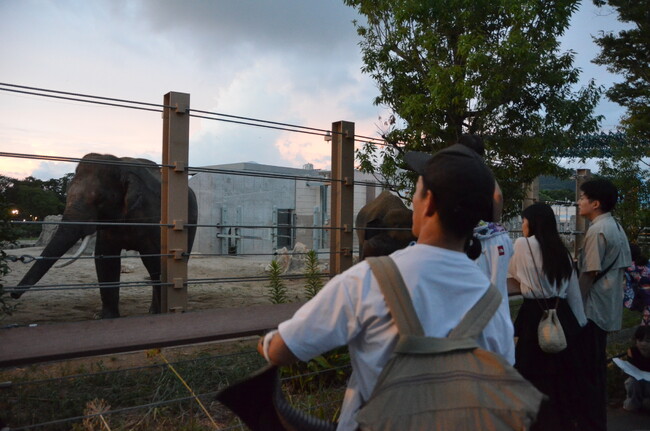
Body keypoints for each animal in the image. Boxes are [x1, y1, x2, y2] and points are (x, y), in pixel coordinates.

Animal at [11, 154, 196, 318]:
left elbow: (156, 259)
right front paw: (105, 317)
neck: (121, 166)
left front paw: (160, 312)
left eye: (100, 199)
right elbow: (105, 259)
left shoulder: (153, 215)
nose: (13, 294)